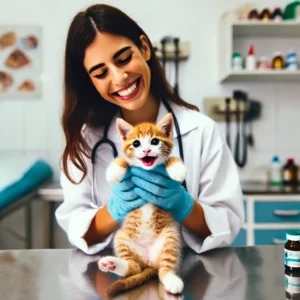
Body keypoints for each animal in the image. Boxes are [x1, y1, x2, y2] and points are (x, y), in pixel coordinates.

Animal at [98, 112, 186, 296]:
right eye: (136, 143)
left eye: (155, 141)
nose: (146, 150)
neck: (148, 170)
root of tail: (148, 262)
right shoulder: (130, 164)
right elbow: (123, 160)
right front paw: (114, 171)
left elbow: (172, 158)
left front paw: (177, 169)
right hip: (122, 236)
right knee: (134, 267)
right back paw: (113, 264)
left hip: (170, 235)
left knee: (163, 268)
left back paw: (171, 279)